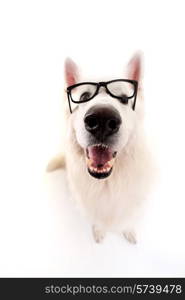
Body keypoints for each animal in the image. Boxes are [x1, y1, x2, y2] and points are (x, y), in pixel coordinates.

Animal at [47, 52, 154, 244]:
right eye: (83, 97)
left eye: (124, 98)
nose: (102, 120)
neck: (107, 183)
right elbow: (96, 219)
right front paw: (99, 231)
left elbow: (128, 218)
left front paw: (128, 231)